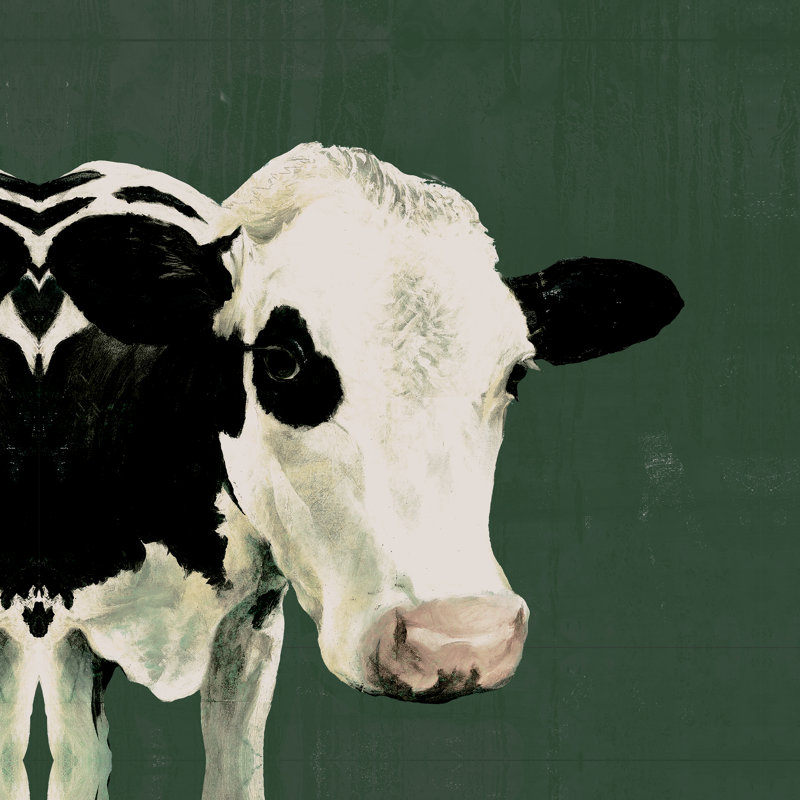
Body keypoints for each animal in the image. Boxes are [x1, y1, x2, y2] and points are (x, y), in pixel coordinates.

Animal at [0, 145, 682, 800]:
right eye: (281, 360)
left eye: (514, 374)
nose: (462, 639)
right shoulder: (58, 632)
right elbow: (75, 766)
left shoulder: (250, 628)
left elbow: (236, 769)